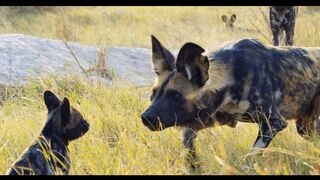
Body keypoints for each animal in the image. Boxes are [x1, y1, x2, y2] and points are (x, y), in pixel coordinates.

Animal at [142, 35, 320, 169]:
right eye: (154, 93)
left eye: (175, 95)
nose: (146, 118)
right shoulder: (208, 119)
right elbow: (188, 144)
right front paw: (194, 167)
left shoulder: (273, 122)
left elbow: (250, 157)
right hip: (306, 129)